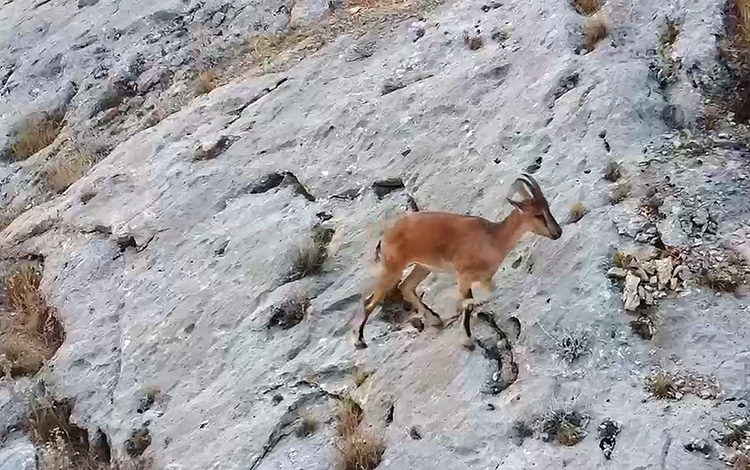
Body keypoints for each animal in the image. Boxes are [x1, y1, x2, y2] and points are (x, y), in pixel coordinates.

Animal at [358, 173, 564, 348]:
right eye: (537, 214)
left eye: (547, 207)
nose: (558, 232)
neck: (492, 239)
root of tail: (385, 237)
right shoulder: (463, 276)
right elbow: (468, 303)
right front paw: (467, 339)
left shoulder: (485, 279)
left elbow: (485, 297)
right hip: (393, 268)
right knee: (370, 300)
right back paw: (359, 340)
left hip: (422, 267)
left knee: (405, 287)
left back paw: (434, 319)